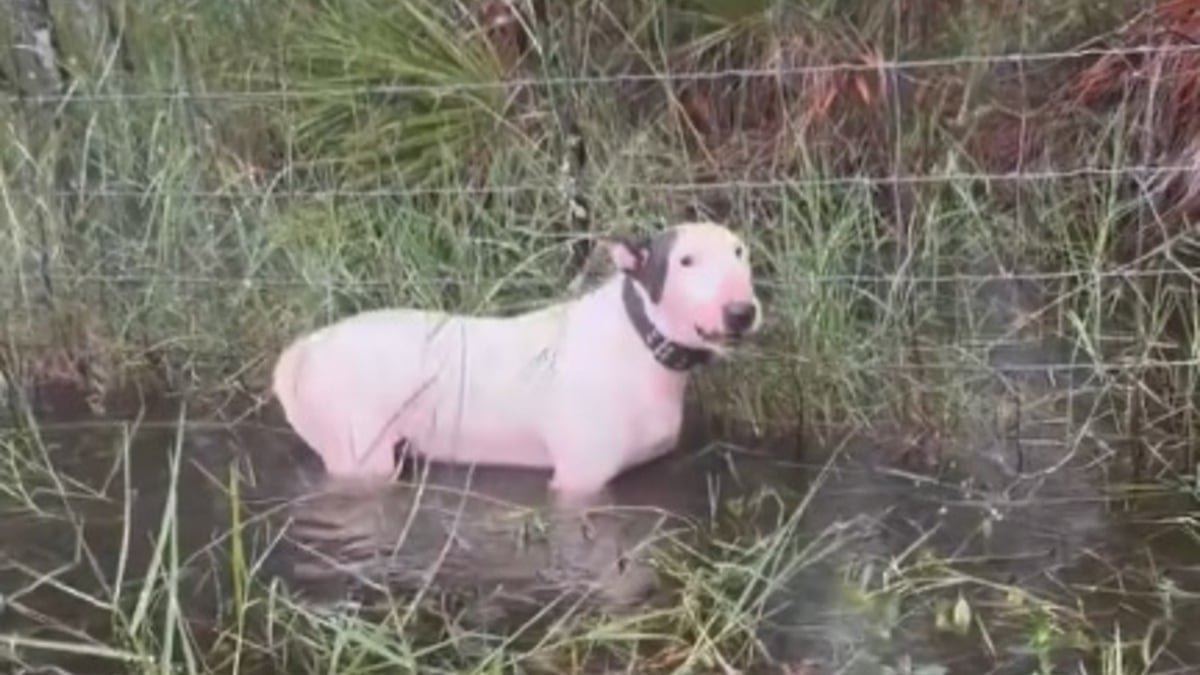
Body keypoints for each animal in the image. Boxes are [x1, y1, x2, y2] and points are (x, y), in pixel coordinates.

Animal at [271, 220, 758, 499]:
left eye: (740, 251)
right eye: (685, 261)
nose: (742, 311)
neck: (640, 341)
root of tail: (304, 349)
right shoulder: (579, 479)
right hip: (358, 454)